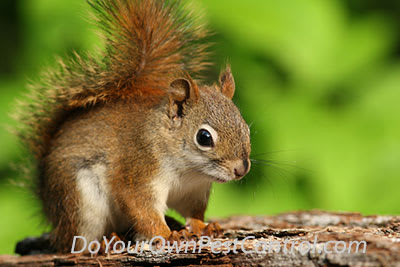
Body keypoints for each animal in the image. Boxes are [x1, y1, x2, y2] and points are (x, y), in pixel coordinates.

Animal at [17, 0, 252, 253]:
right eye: (204, 137)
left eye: (246, 128)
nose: (241, 169)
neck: (189, 171)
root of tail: (49, 207)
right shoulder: (138, 171)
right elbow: (142, 209)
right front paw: (167, 235)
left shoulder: (194, 191)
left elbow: (193, 212)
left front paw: (204, 226)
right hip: (79, 202)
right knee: (76, 242)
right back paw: (103, 243)